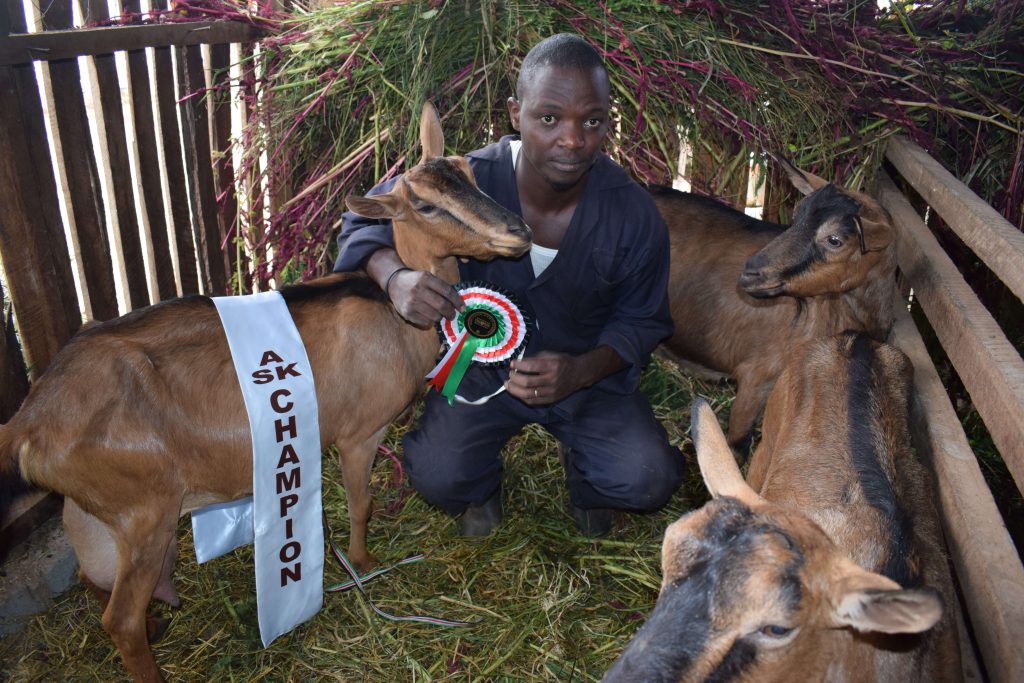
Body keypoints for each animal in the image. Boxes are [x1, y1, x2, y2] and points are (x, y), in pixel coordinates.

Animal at [0, 101, 528, 683]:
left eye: (468, 170)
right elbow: (361, 503)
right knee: (120, 619)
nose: (518, 230)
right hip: (144, 514)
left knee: (94, 579)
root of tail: (27, 424)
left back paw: (158, 624)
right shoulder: (360, 433)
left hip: (91, 511)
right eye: (425, 205)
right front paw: (365, 564)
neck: (392, 315)